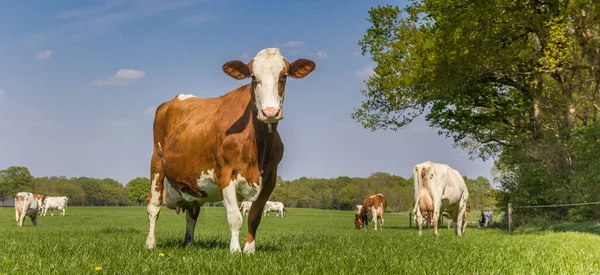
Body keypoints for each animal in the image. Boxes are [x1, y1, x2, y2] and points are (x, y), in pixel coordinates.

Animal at [145, 48, 316, 254]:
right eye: (253, 77)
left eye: (284, 76)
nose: (270, 112)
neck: (258, 146)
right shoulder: (225, 174)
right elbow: (235, 217)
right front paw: (235, 251)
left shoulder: (270, 178)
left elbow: (254, 217)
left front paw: (249, 250)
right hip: (156, 163)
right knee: (153, 206)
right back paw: (150, 243)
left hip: (192, 184)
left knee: (192, 213)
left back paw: (189, 243)